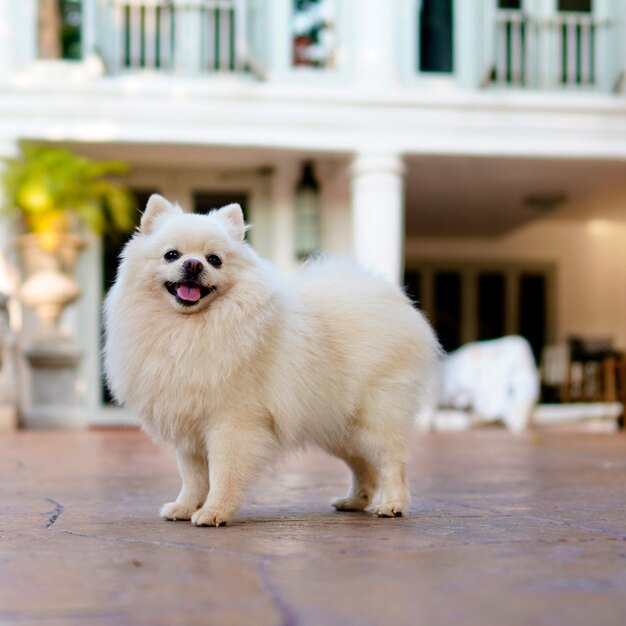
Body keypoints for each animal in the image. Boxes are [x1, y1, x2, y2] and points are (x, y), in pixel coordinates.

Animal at [103, 193, 438, 524]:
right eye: (171, 255)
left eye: (215, 259)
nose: (194, 264)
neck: (189, 328)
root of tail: (392, 298)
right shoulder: (189, 425)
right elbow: (193, 477)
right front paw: (184, 507)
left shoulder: (231, 422)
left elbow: (223, 473)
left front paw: (214, 511)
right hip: (338, 426)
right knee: (363, 466)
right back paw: (354, 501)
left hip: (375, 416)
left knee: (391, 462)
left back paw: (392, 505)